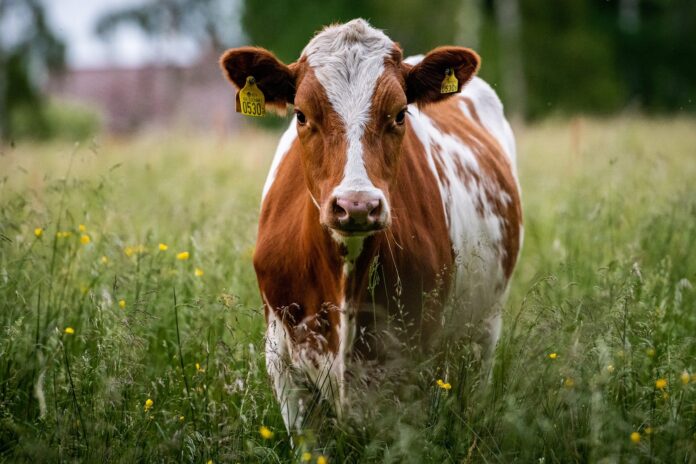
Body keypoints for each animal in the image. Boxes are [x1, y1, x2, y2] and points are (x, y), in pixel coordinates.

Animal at [220, 18, 522, 434]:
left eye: (399, 114)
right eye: (301, 115)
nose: (357, 205)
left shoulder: (412, 364)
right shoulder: (283, 365)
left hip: (484, 329)